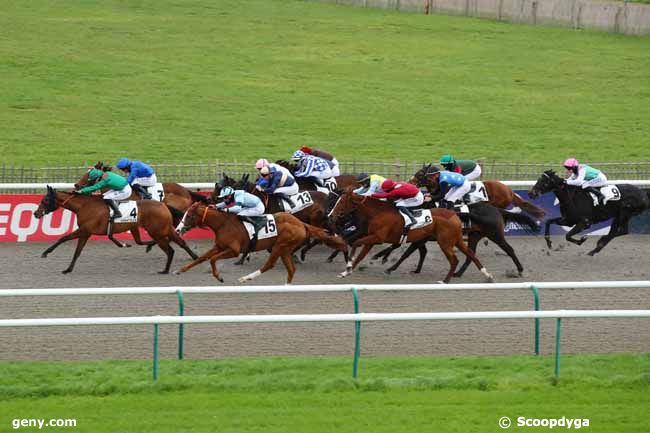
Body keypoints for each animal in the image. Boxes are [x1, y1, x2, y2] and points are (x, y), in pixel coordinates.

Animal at [34, 186, 196, 274]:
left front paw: (45, 252)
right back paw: (192, 257)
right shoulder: (86, 233)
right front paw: (68, 269)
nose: (36, 213)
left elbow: (63, 238)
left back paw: (165, 269)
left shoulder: (84, 230)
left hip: (157, 231)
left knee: (169, 249)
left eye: (45, 200)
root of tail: (163, 205)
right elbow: (77, 252)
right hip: (160, 229)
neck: (84, 206)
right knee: (179, 243)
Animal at [170, 202, 346, 284]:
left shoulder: (234, 250)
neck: (223, 223)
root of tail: (301, 224)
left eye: (189, 215)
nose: (177, 229)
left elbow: (213, 259)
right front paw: (179, 270)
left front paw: (219, 277)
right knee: (291, 269)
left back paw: (245, 278)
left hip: (279, 246)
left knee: (269, 265)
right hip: (285, 249)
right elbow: (202, 258)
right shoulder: (219, 246)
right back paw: (286, 286)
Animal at [330, 191, 492, 282]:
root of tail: (454, 214)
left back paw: (445, 281)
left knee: (455, 260)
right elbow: (360, 254)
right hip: (457, 240)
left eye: (342, 201)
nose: (331, 216)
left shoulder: (377, 238)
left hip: (445, 242)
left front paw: (349, 265)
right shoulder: (372, 238)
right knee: (471, 254)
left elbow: (357, 243)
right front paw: (346, 271)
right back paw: (487, 275)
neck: (379, 213)